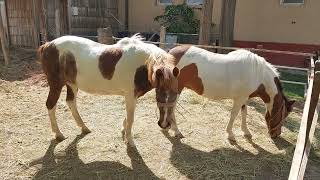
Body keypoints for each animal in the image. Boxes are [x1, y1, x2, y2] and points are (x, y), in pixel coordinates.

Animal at [37, 34, 180, 146]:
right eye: (159, 92)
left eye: (175, 93)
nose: (165, 124)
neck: (143, 65)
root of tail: (48, 45)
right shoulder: (130, 95)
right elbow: (131, 117)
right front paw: (129, 141)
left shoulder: (132, 96)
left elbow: (128, 115)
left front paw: (123, 131)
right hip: (56, 84)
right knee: (50, 104)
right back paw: (59, 134)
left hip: (72, 84)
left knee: (71, 102)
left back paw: (84, 128)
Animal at [156, 45, 294, 141]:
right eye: (284, 115)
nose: (276, 135)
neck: (257, 74)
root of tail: (169, 54)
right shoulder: (239, 99)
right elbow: (234, 114)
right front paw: (230, 134)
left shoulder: (243, 98)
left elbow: (244, 113)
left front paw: (246, 132)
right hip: (176, 90)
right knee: (171, 108)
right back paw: (176, 131)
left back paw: (167, 127)